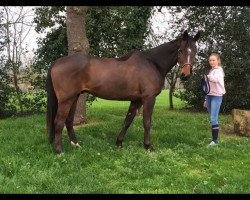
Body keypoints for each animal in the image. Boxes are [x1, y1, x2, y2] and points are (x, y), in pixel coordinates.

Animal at [46, 30, 199, 155]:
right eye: (181, 50)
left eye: (195, 51)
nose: (186, 74)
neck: (152, 63)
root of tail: (56, 62)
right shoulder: (148, 98)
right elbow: (147, 122)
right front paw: (148, 146)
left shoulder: (136, 100)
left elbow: (127, 121)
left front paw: (119, 142)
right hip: (66, 99)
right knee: (58, 122)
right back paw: (59, 151)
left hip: (75, 97)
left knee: (69, 120)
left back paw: (76, 144)